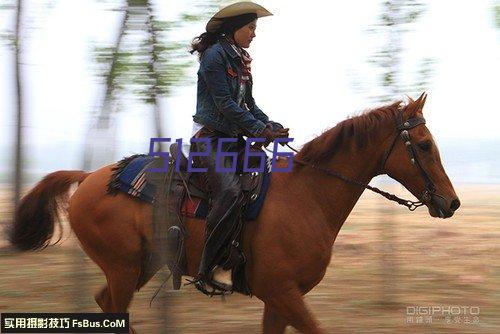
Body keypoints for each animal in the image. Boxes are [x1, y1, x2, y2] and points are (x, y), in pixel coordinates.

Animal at [8, 92, 460, 332]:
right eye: (423, 145)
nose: (451, 202)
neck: (306, 196)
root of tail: (89, 178)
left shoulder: (279, 299)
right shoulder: (283, 292)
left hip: (143, 264)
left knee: (105, 303)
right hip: (123, 267)